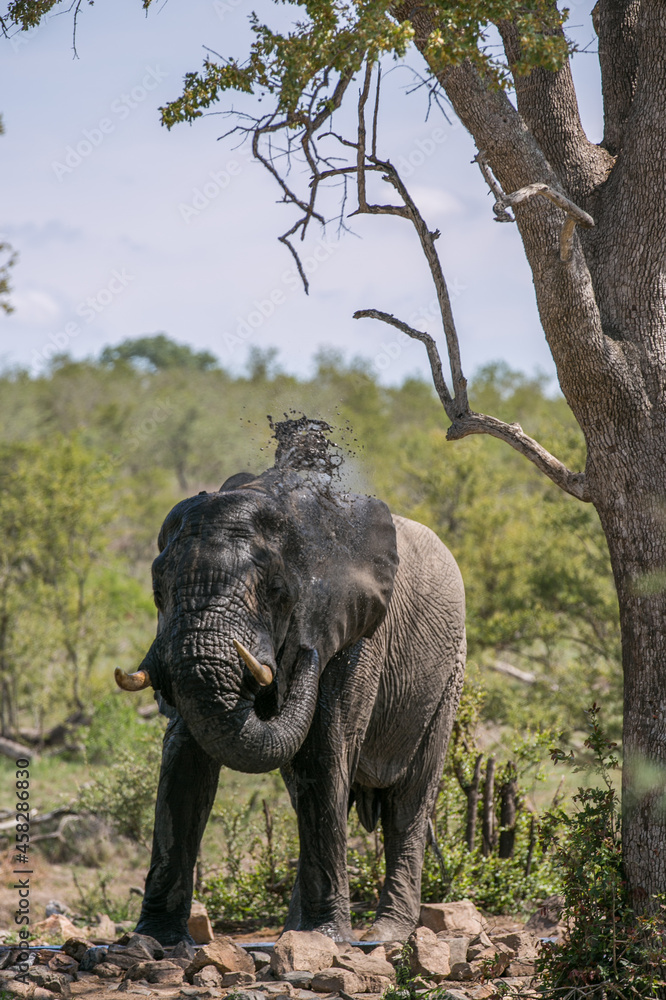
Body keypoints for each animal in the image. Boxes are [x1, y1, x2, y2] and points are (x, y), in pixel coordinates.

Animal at [115, 431, 466, 946]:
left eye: (276, 591)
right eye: (158, 593)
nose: (302, 654)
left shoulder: (358, 633)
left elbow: (324, 748)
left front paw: (329, 939)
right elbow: (184, 757)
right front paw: (153, 941)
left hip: (448, 675)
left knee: (407, 803)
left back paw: (384, 934)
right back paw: (292, 934)